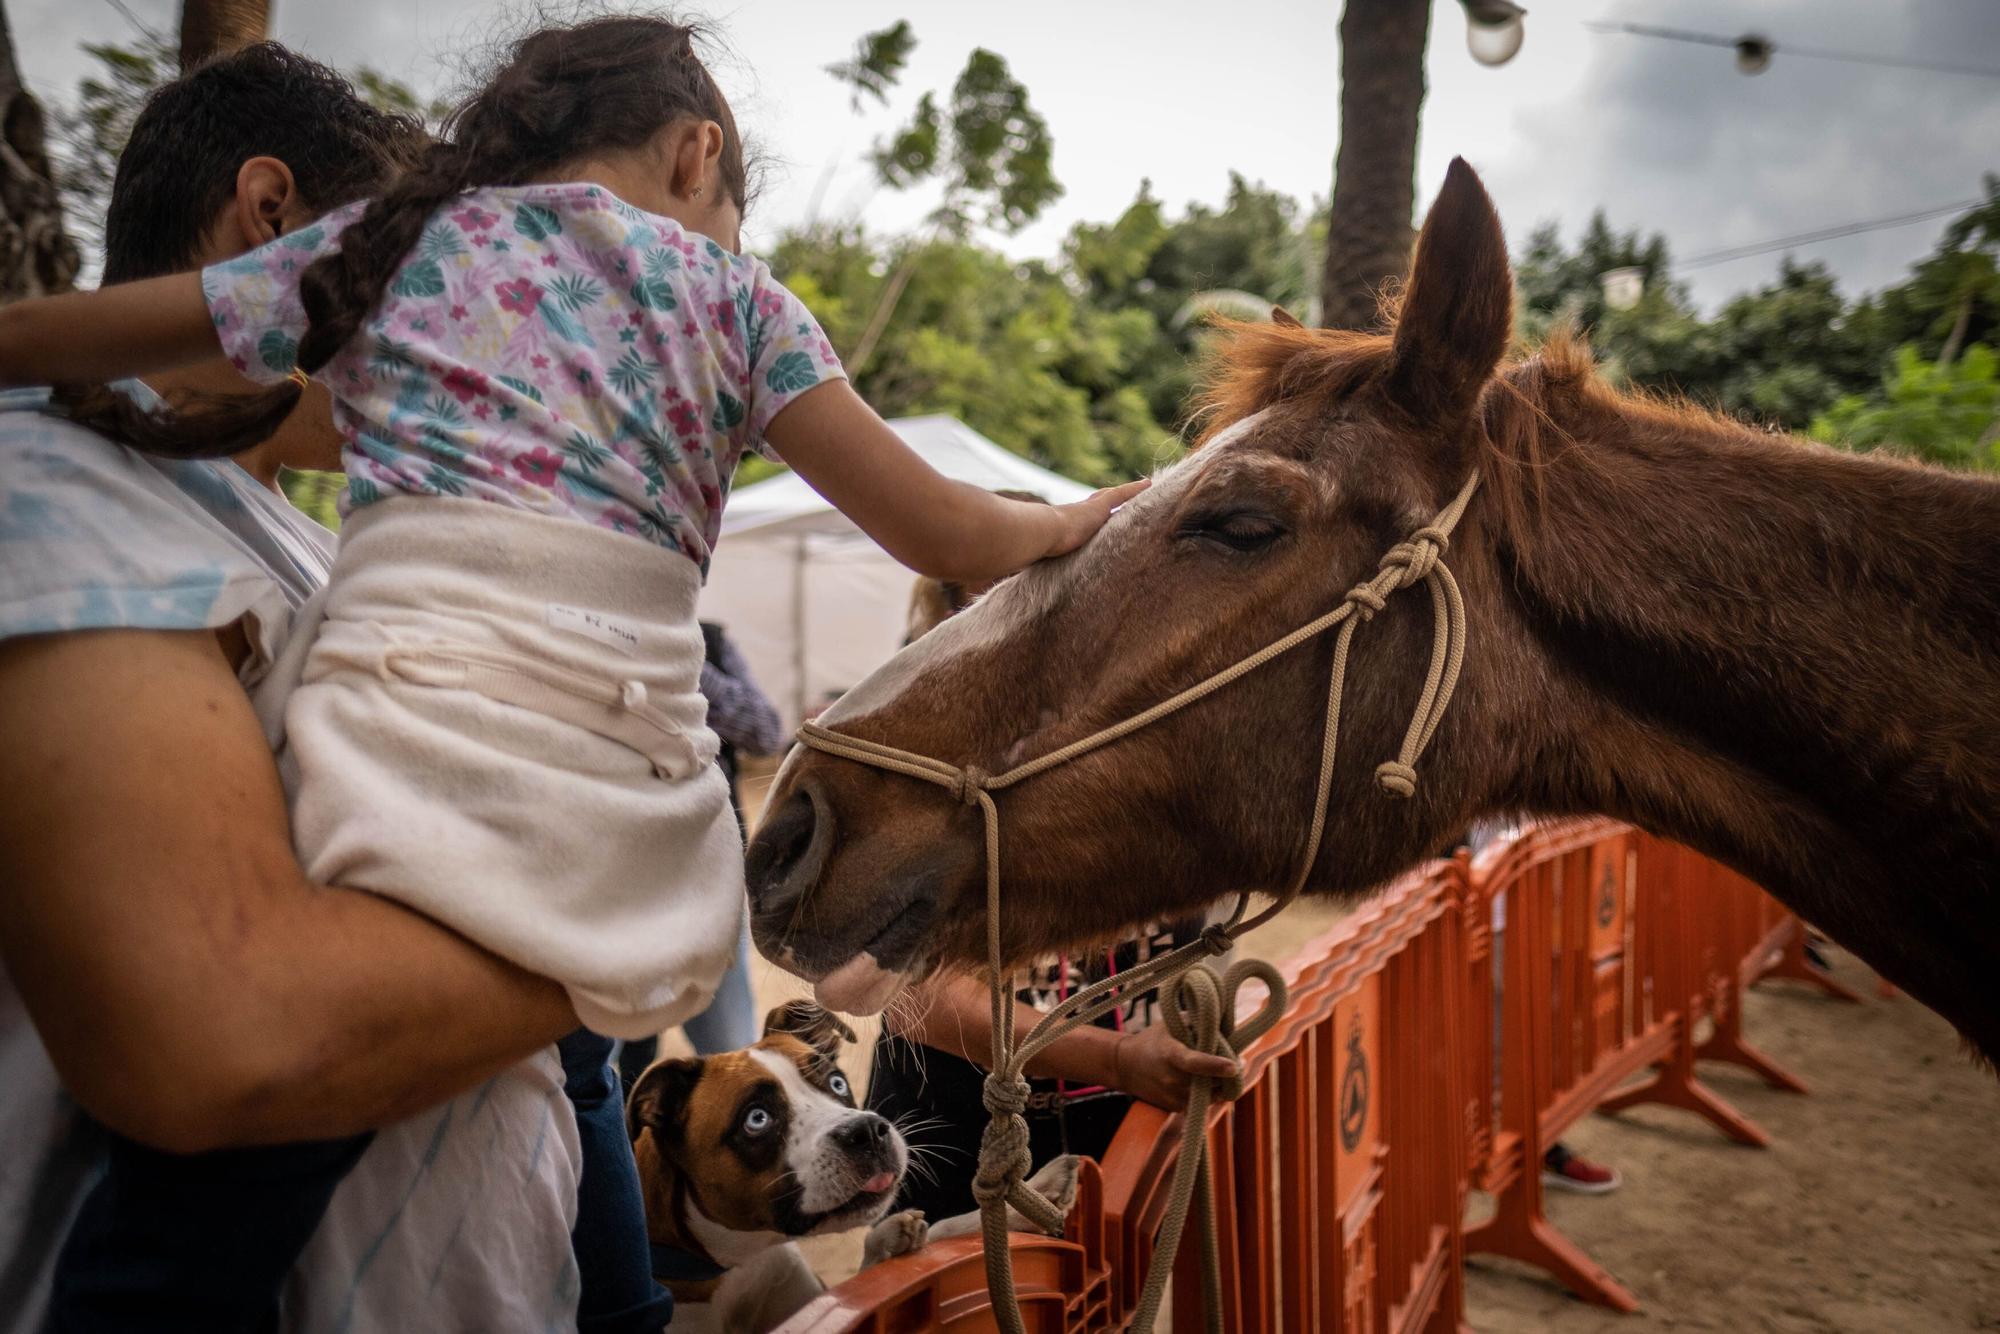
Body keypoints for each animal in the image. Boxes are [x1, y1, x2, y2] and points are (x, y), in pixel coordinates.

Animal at [636, 1000, 1080, 1334]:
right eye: (756, 1119)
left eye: (836, 1082)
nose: (867, 1131)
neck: (738, 1264)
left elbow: (940, 1233)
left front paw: (1025, 1201)